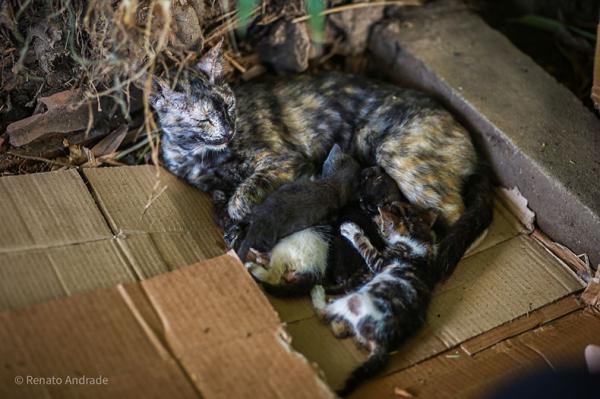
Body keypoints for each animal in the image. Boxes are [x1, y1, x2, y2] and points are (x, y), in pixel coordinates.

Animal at [150, 41, 492, 284]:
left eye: (230, 106)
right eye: (204, 119)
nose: (228, 130)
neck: (200, 155)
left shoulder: (283, 160)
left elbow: (241, 198)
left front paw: (238, 219)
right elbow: (223, 197)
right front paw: (229, 220)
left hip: (401, 160)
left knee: (455, 218)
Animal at [314, 202, 436, 396]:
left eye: (381, 224)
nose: (374, 218)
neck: (418, 236)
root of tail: (383, 342)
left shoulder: (380, 262)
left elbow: (365, 246)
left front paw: (351, 230)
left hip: (352, 301)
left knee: (324, 313)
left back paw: (319, 293)